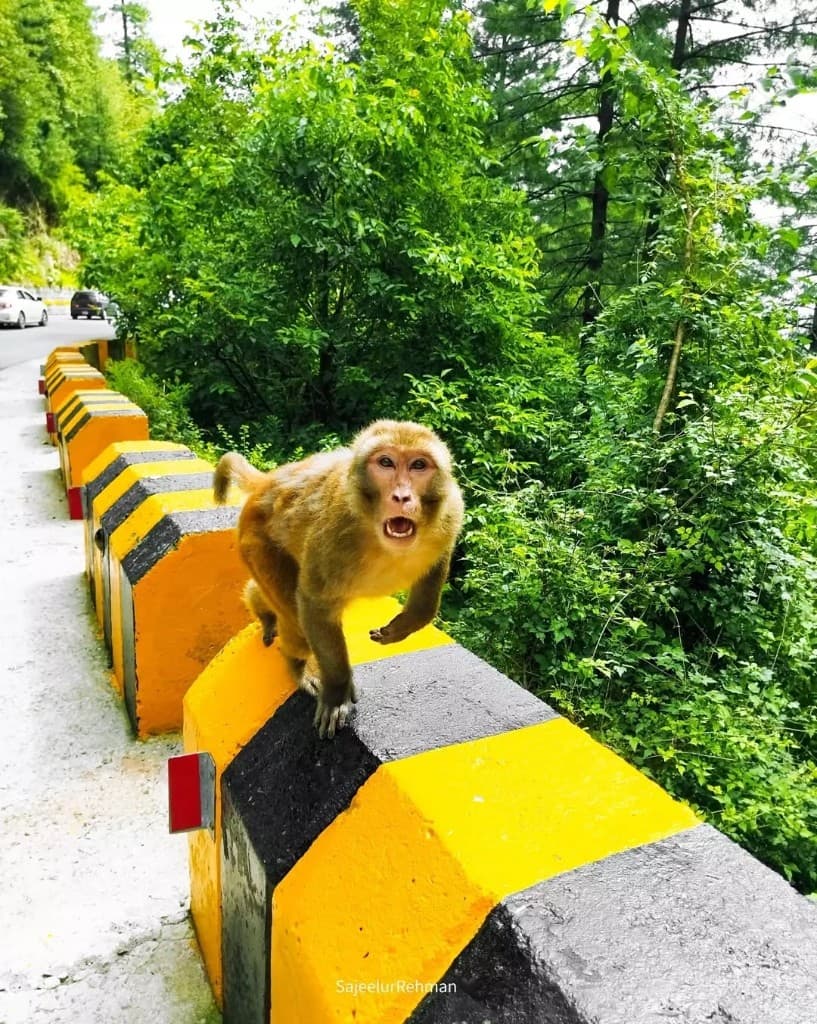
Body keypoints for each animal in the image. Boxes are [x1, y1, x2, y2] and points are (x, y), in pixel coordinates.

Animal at [214, 420, 464, 738]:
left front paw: (404, 625)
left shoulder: (451, 514)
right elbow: (315, 603)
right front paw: (336, 690)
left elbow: (433, 579)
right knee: (295, 622)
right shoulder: (335, 532)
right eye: (386, 462)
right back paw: (295, 661)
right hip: (256, 544)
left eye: (419, 465)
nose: (401, 496)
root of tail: (268, 482)